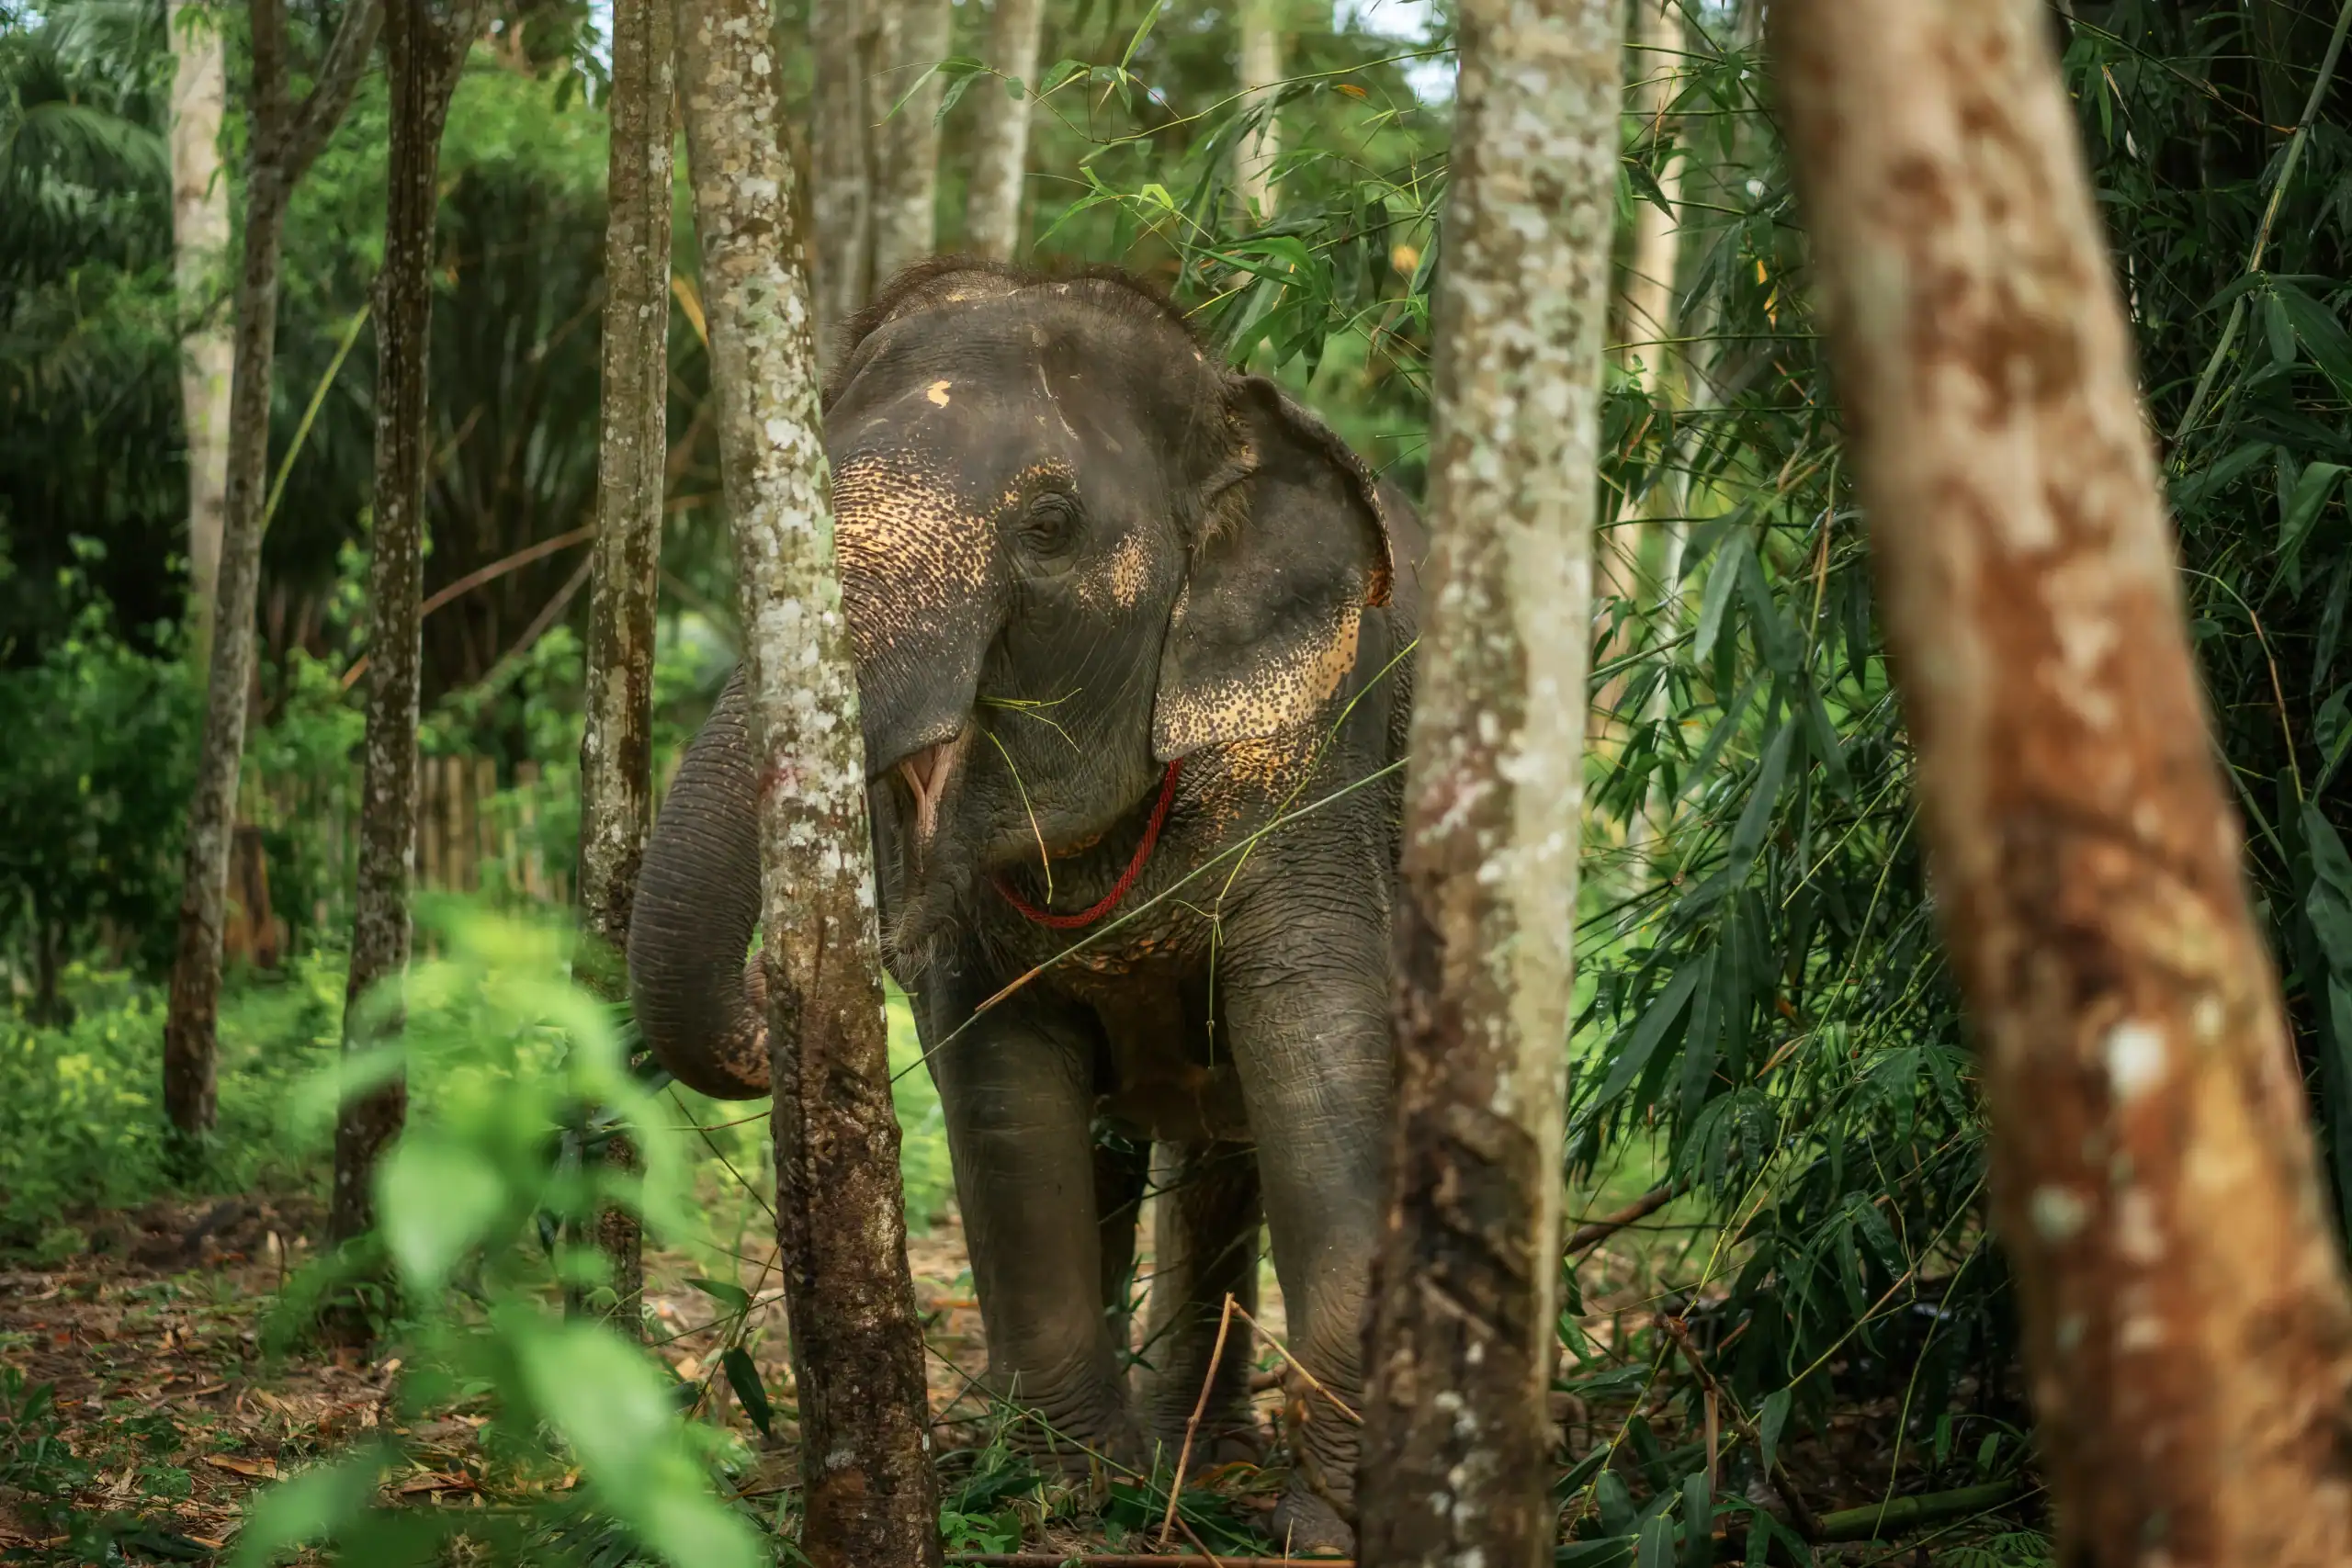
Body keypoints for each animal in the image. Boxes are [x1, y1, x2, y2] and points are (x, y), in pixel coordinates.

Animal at [627, 258, 1421, 1553]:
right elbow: (1006, 1104)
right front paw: (1066, 1488)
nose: (762, 1004)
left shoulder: (1319, 773)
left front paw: (1331, 1533)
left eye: (1047, 530)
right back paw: (1184, 1458)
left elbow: (1321, 1069)